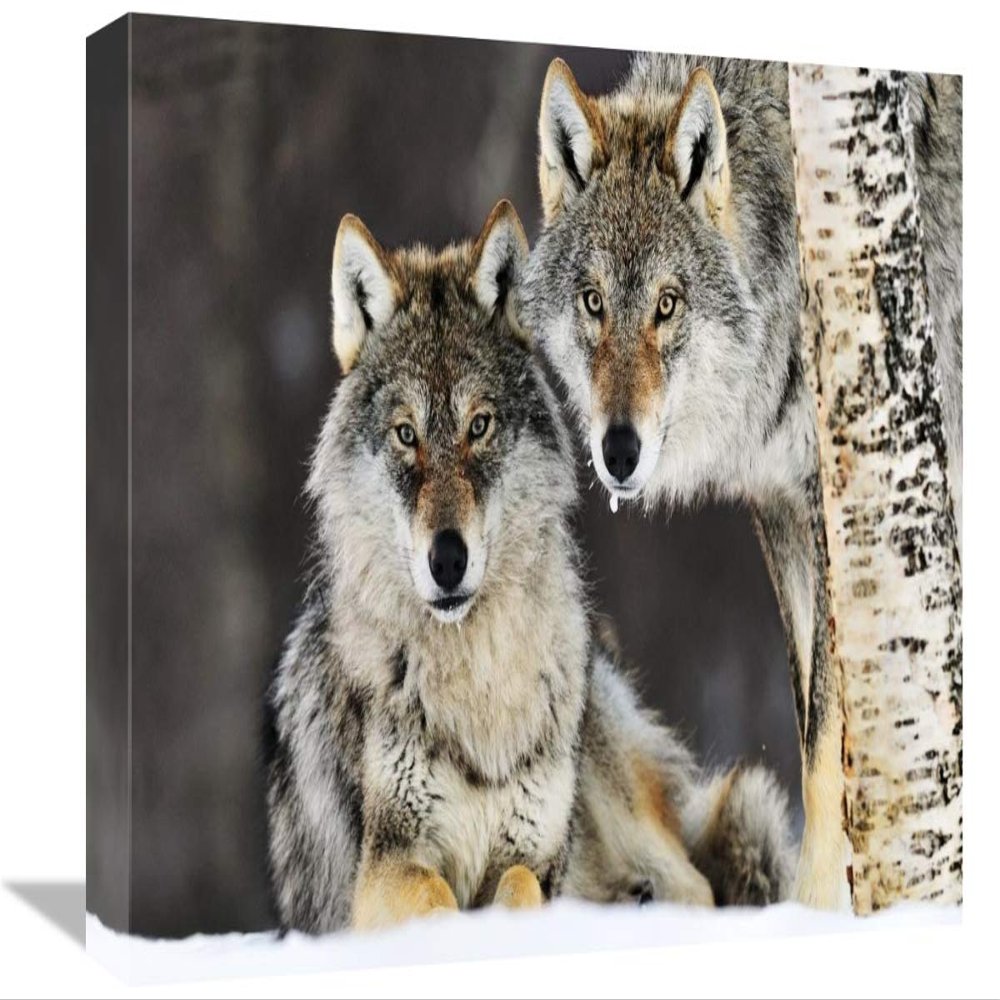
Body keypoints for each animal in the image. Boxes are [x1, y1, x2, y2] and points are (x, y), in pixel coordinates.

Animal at [265, 200, 794, 933]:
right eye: (406, 436)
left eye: (479, 426)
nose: (448, 559)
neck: (479, 678)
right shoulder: (382, 870)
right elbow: (436, 899)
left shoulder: (534, 851)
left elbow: (519, 887)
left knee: (699, 887)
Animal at [518, 53, 962, 909]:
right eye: (593, 303)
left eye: (667, 305)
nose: (618, 451)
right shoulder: (781, 505)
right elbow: (807, 713)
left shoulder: (833, 507)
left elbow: (825, 742)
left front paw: (816, 909)